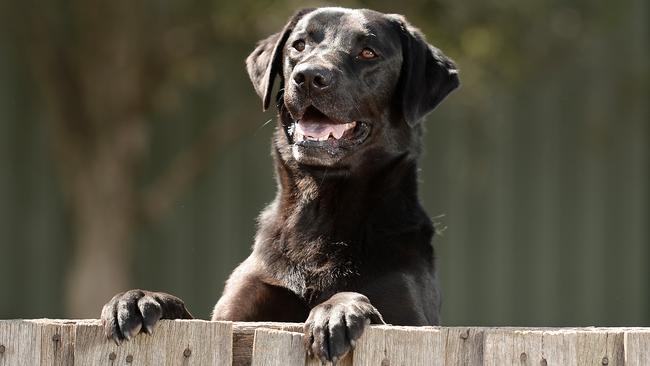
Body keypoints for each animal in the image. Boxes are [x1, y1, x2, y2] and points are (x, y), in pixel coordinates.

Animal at [100, 7, 456, 364]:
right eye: (298, 45)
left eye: (368, 52)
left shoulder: (412, 322)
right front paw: (141, 298)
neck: (318, 206)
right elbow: (192, 315)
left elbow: (359, 299)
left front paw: (335, 312)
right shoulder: (233, 319)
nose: (309, 76)